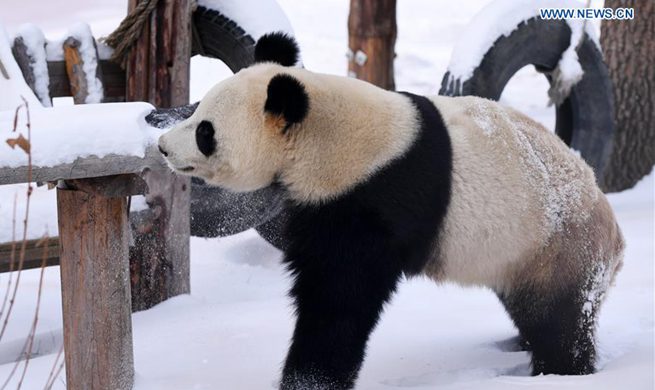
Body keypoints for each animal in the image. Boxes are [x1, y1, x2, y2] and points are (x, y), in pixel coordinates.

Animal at [158, 33, 624, 390]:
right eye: (198, 112)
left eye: (205, 131)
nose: (162, 146)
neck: (324, 130)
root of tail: (615, 235)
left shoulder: (374, 193)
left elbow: (339, 297)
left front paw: (308, 380)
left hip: (555, 246)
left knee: (558, 322)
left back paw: (560, 371)